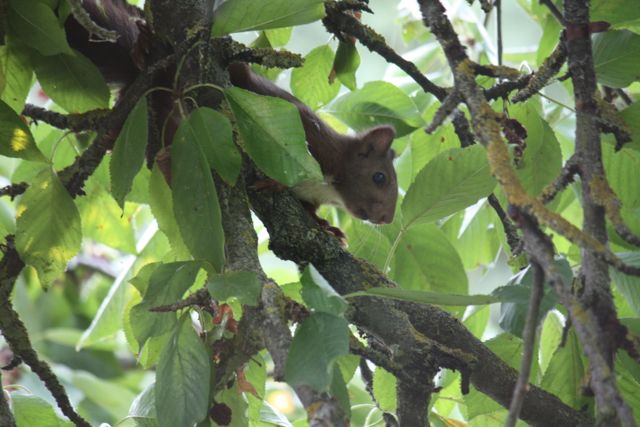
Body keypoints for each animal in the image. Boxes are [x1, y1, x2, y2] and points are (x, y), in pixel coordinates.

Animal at [63, 0, 396, 226]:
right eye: (379, 177)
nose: (386, 218)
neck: (329, 185)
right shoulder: (308, 129)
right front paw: (277, 182)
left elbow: (310, 213)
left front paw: (328, 229)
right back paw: (144, 45)